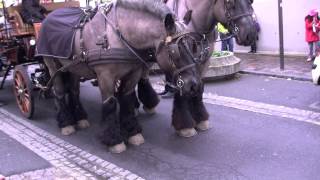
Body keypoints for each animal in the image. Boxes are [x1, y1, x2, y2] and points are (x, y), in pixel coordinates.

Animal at [39, 0, 202, 153]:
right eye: (175, 50)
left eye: (193, 45)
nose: (193, 85)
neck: (116, 34)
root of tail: (49, 17)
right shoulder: (105, 77)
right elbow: (110, 104)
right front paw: (114, 140)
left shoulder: (133, 74)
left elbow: (126, 100)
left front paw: (132, 132)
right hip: (53, 65)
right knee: (59, 92)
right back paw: (66, 123)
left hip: (73, 67)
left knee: (74, 91)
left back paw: (80, 118)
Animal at [138, 0, 258, 137]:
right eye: (229, 2)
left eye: (251, 1)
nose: (250, 34)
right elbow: (183, 89)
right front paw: (185, 126)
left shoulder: (203, 62)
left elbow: (199, 87)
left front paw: (201, 120)